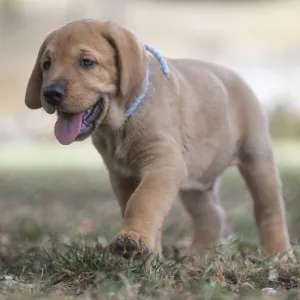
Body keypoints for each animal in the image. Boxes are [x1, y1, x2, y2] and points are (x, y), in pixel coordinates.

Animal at [24, 19, 292, 258]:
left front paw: (132, 238)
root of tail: (235, 75)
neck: (121, 124)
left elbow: (143, 201)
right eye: (46, 64)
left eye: (87, 62)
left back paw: (278, 253)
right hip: (195, 183)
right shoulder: (122, 176)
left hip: (257, 160)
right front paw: (150, 255)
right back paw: (197, 256)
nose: (50, 93)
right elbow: (134, 205)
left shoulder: (163, 164)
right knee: (213, 216)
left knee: (269, 210)